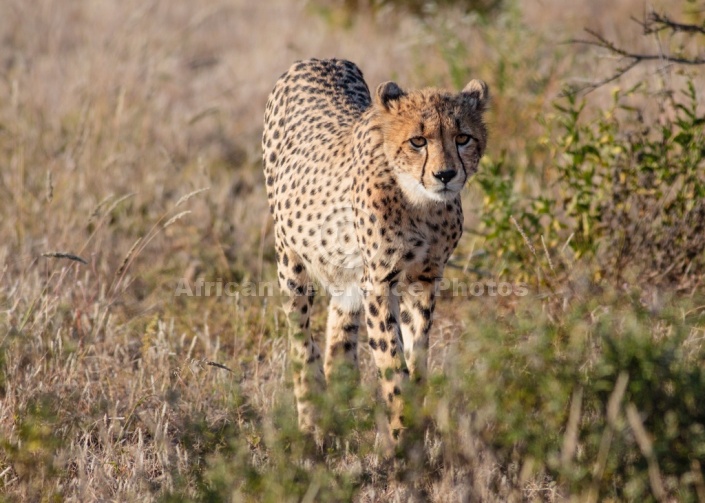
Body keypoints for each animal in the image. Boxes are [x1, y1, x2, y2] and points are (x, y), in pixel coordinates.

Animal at [262, 59, 486, 442]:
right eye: (418, 141)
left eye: (463, 138)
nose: (445, 175)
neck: (420, 204)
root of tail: (316, 60)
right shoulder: (380, 282)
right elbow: (391, 360)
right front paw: (401, 435)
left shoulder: (424, 279)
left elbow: (416, 353)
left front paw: (416, 417)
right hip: (290, 260)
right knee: (300, 341)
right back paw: (311, 421)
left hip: (346, 274)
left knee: (339, 331)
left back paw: (338, 397)